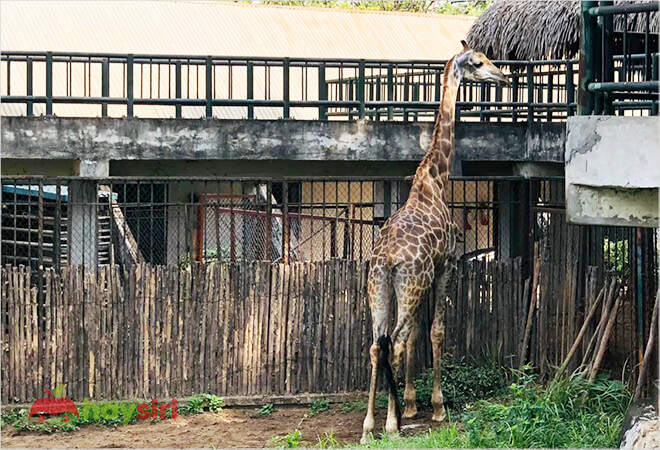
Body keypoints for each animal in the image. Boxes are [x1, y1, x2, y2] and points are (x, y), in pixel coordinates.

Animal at [358, 40, 508, 442]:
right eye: (478, 62)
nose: (503, 76)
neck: (435, 180)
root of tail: (386, 259)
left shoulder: (424, 277)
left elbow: (416, 336)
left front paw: (410, 403)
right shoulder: (446, 266)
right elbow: (436, 332)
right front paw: (437, 407)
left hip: (379, 286)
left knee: (377, 344)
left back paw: (369, 427)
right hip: (410, 283)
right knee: (393, 342)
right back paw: (391, 426)